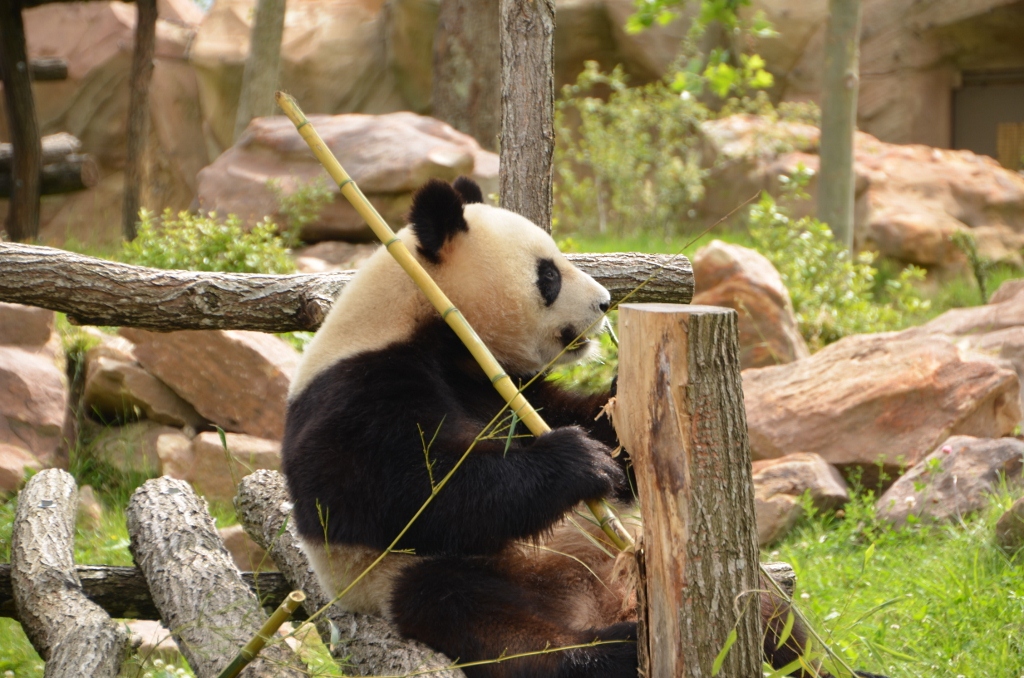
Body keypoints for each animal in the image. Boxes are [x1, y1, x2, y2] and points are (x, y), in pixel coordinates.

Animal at [282, 178, 880, 675]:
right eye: (547, 274)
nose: (606, 301)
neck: (426, 319)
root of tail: (595, 600)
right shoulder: (357, 384)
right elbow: (391, 490)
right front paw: (575, 461)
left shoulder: (504, 383)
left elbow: (583, 422)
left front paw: (621, 409)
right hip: (425, 575)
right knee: (492, 625)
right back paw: (613, 649)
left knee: (763, 611)